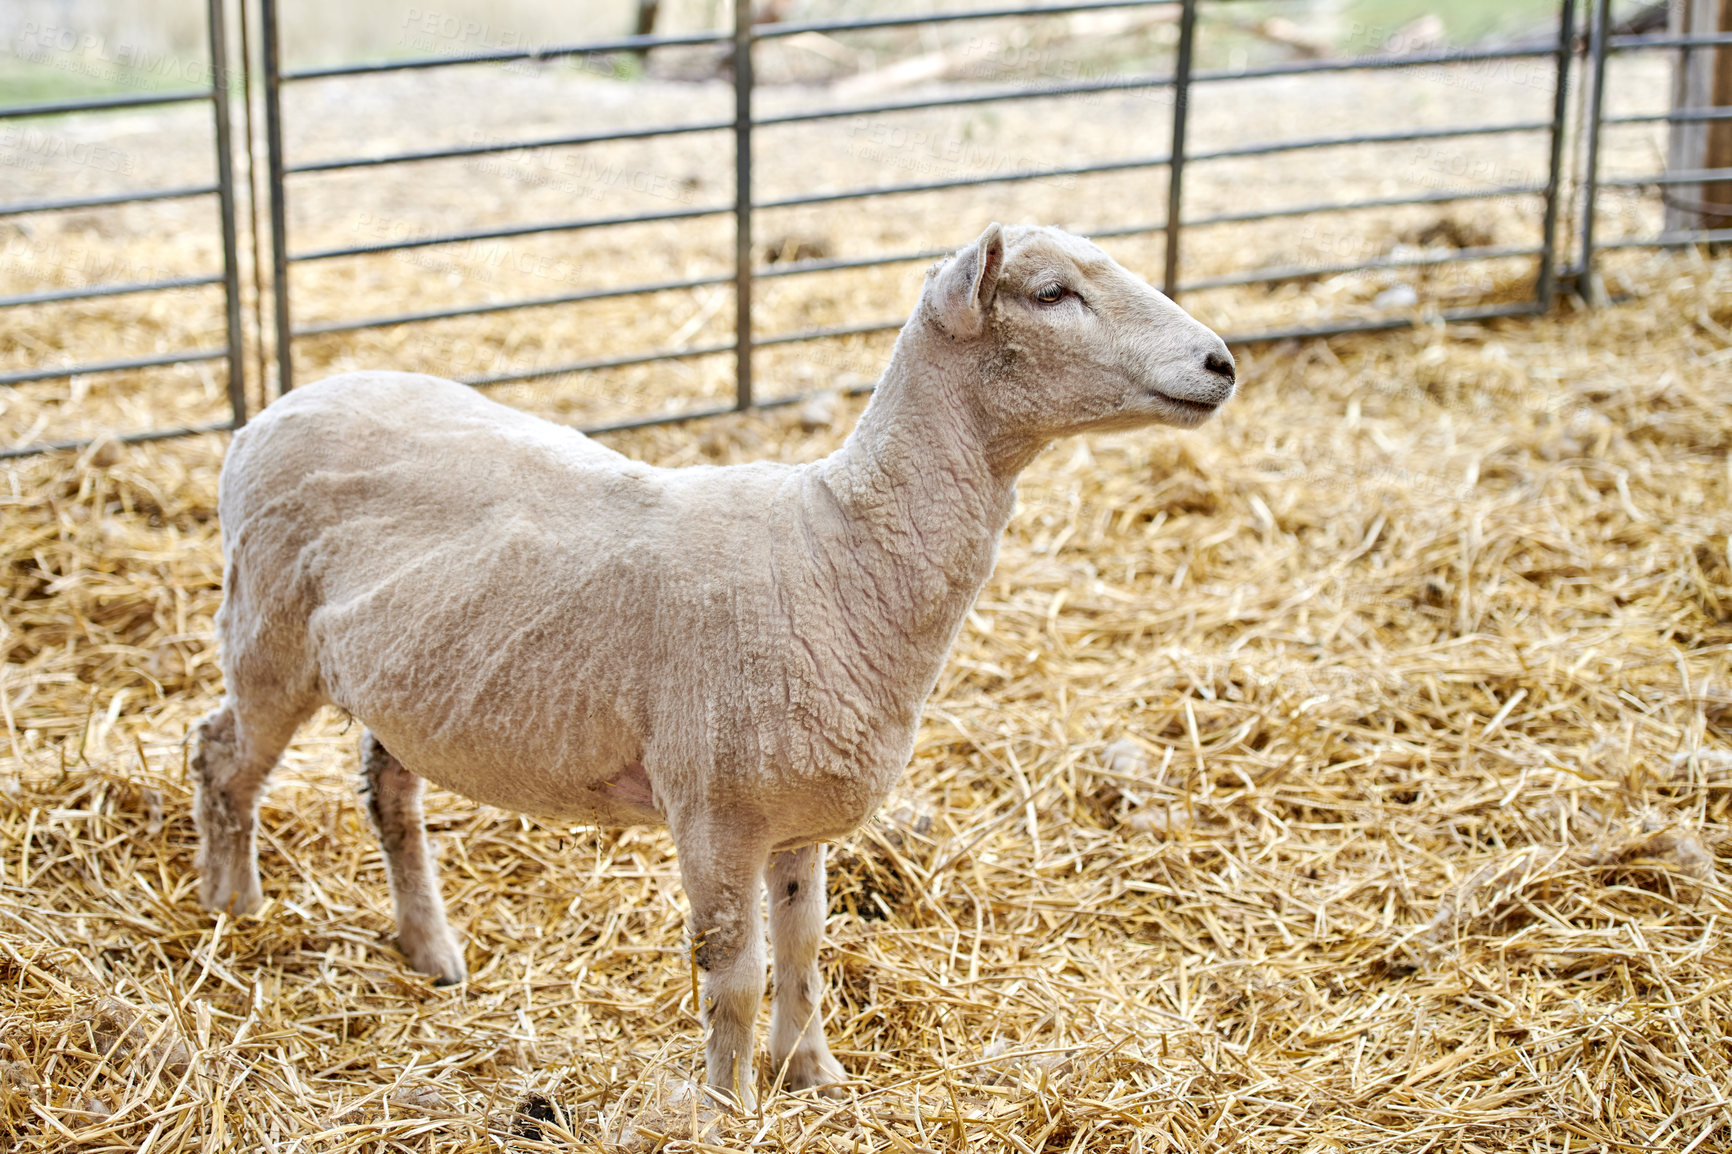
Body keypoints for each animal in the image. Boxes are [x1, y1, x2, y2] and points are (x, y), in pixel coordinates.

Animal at [191, 222, 1236, 1108]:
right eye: (1053, 293)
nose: (1221, 362)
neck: (834, 549)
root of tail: (273, 409)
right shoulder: (715, 811)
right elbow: (733, 975)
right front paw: (728, 1107)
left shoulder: (798, 815)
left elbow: (806, 948)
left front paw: (813, 1074)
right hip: (267, 632)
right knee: (220, 755)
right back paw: (231, 909)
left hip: (406, 678)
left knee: (386, 792)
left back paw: (429, 948)